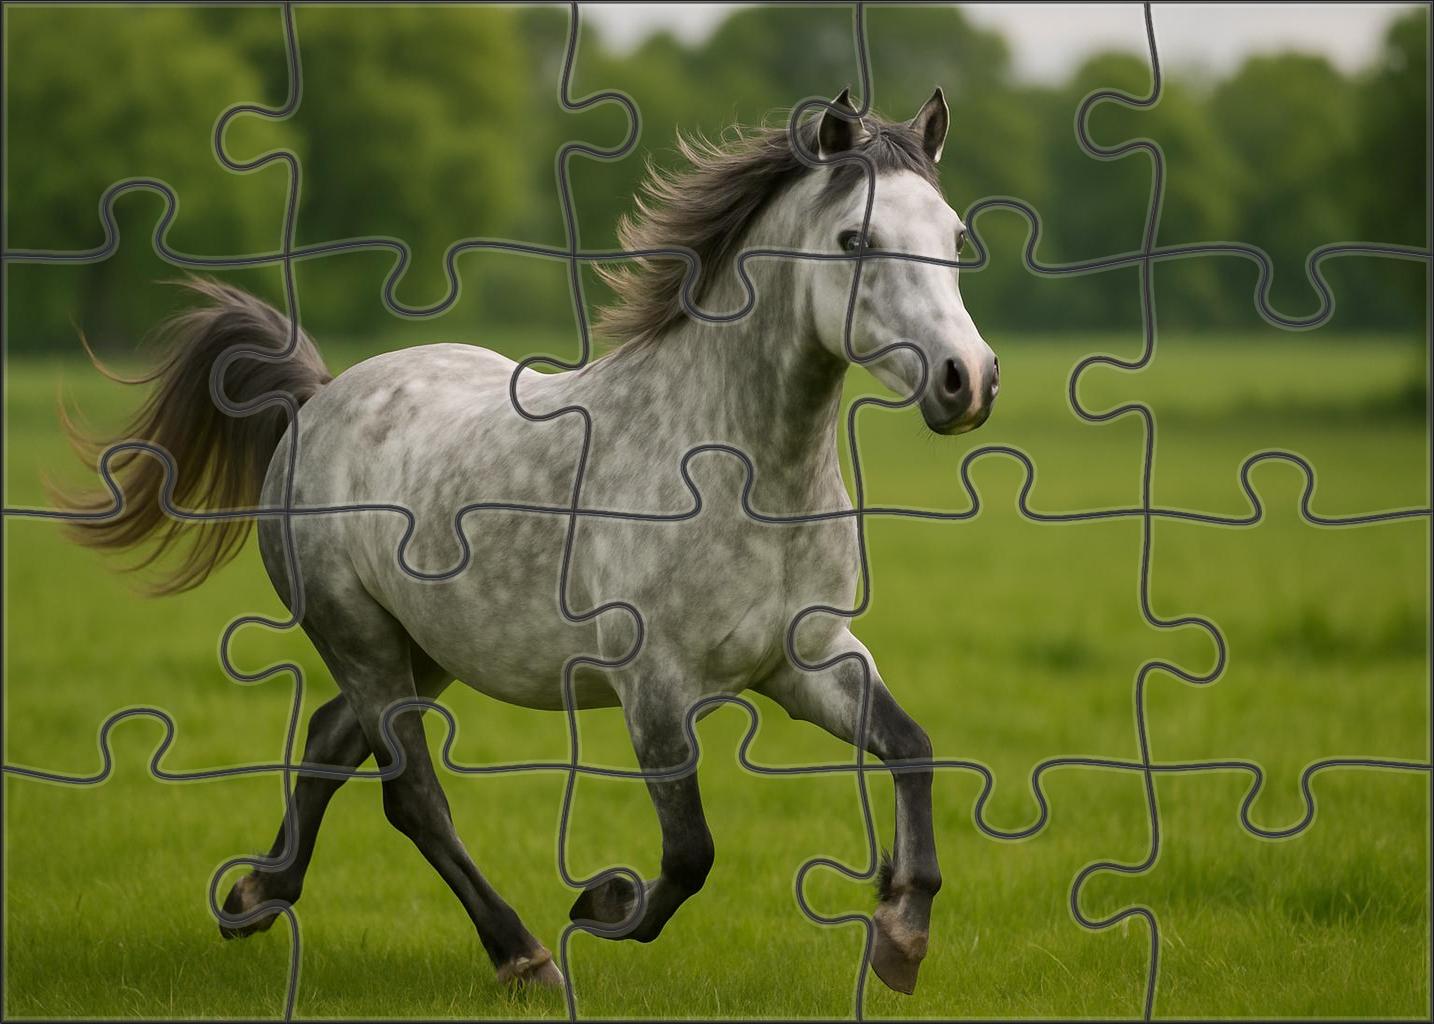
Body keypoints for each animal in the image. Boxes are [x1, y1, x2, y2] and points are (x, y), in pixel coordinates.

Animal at [60, 88, 998, 995]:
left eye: (954, 237)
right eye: (854, 239)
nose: (969, 381)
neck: (737, 470)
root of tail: (317, 399)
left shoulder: (807, 658)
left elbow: (912, 749)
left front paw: (902, 931)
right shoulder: (654, 687)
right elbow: (689, 854)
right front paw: (604, 901)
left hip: (425, 647)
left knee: (329, 740)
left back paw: (254, 896)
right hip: (358, 635)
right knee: (413, 797)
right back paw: (519, 954)